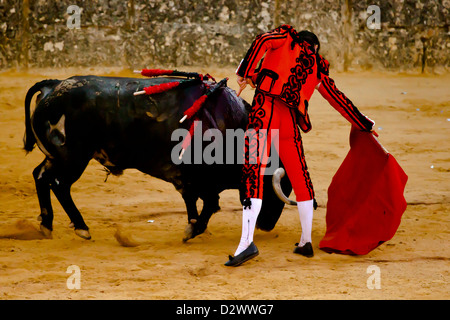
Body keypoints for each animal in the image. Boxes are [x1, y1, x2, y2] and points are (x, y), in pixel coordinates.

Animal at [23, 75, 292, 240]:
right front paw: (193, 229)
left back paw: (46, 224)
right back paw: (81, 228)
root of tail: (53, 86)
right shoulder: (200, 177)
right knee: (59, 184)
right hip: (72, 159)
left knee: (40, 175)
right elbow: (209, 204)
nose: (266, 224)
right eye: (271, 189)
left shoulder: (190, 178)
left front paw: (193, 224)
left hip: (57, 157)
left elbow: (193, 201)